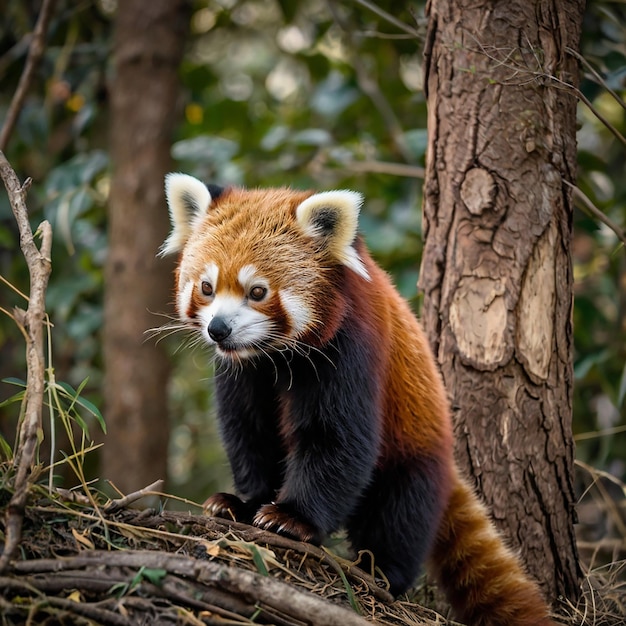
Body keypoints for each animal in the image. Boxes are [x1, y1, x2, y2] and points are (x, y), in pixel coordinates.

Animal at [161, 172, 556, 624]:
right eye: (207, 288)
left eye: (257, 291)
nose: (219, 329)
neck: (277, 357)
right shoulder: (246, 372)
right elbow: (249, 432)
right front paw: (244, 503)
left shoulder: (349, 350)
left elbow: (338, 441)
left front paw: (291, 519)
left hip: (414, 450)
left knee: (400, 513)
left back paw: (381, 572)